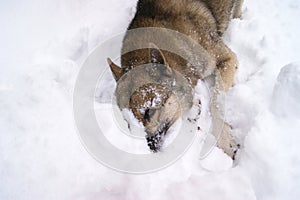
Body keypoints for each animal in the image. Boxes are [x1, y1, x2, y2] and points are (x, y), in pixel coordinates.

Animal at [108, 0, 244, 159]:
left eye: (149, 112)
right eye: (128, 120)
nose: (150, 149)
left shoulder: (227, 58)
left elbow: (215, 102)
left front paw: (225, 141)